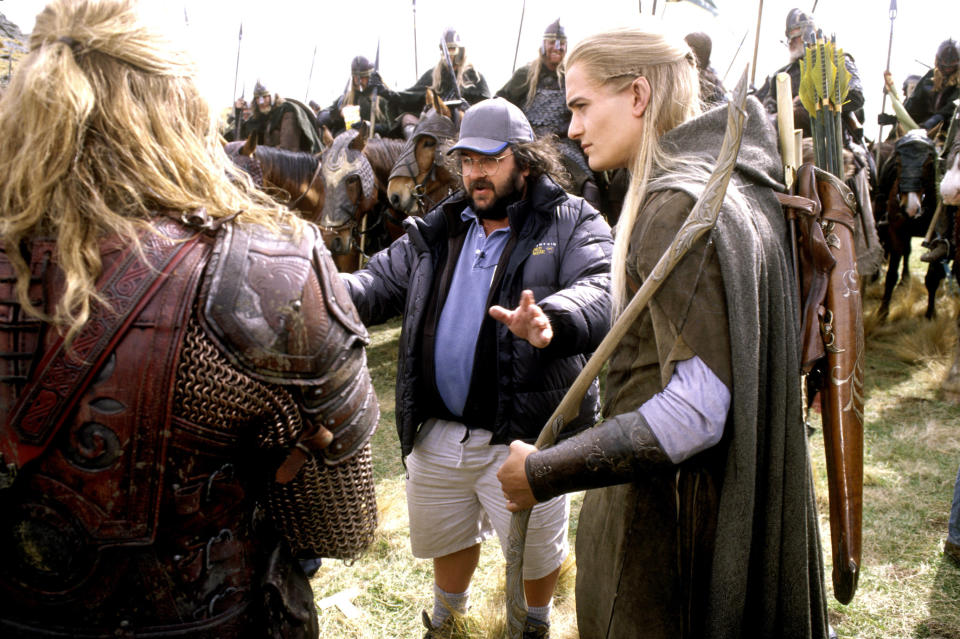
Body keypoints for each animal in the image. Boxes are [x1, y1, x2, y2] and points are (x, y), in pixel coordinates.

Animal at [872, 129, 940, 320]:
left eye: (929, 162)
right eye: (898, 161)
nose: (910, 208)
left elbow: (932, 277)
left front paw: (930, 313)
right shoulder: (897, 232)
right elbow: (891, 275)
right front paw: (882, 312)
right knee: (906, 252)